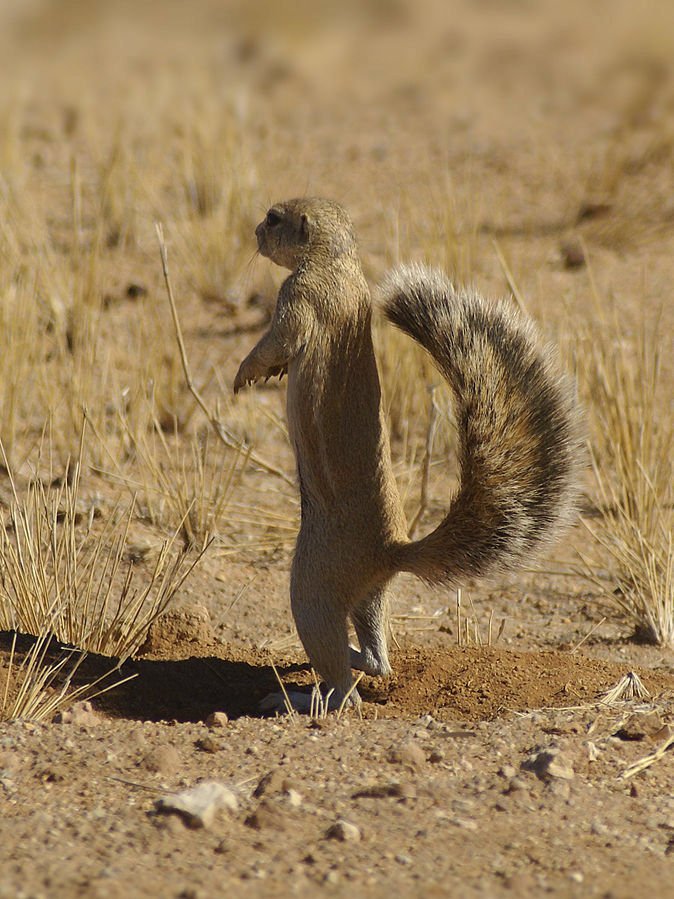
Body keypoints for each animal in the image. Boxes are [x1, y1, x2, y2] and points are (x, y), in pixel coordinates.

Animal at [234, 197, 580, 712]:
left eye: (274, 218)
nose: (256, 232)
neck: (337, 263)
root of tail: (390, 550)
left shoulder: (297, 299)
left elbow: (278, 341)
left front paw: (246, 372)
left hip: (311, 588)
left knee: (344, 685)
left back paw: (302, 697)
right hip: (372, 595)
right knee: (379, 658)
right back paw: (356, 658)